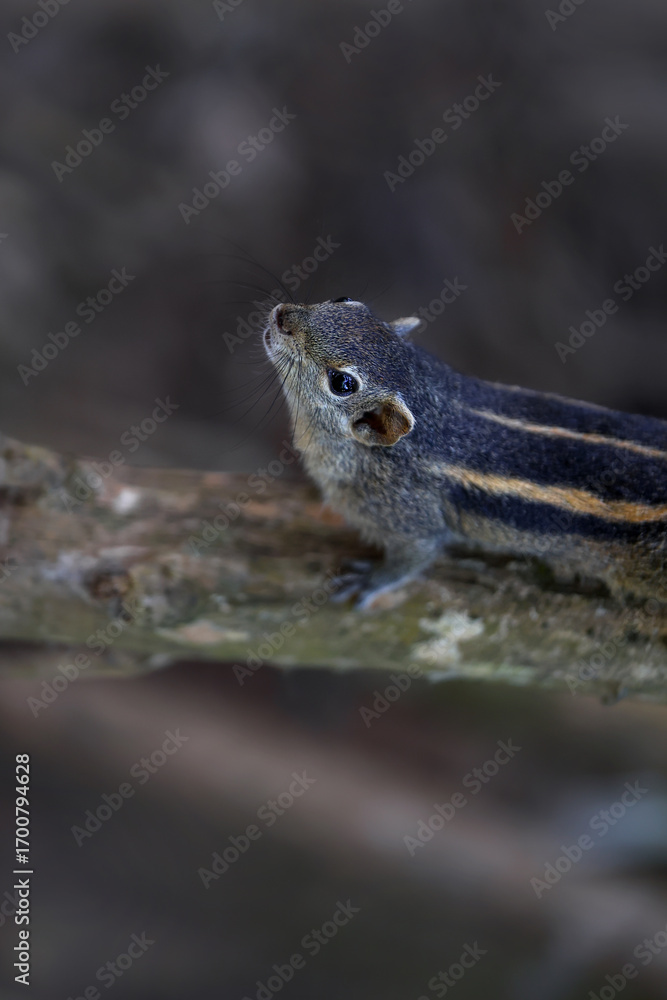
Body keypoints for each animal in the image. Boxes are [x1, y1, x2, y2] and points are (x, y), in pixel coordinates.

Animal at [263, 298, 667, 609]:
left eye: (343, 383)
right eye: (345, 299)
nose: (282, 315)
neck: (435, 402)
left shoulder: (407, 514)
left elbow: (415, 554)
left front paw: (371, 581)